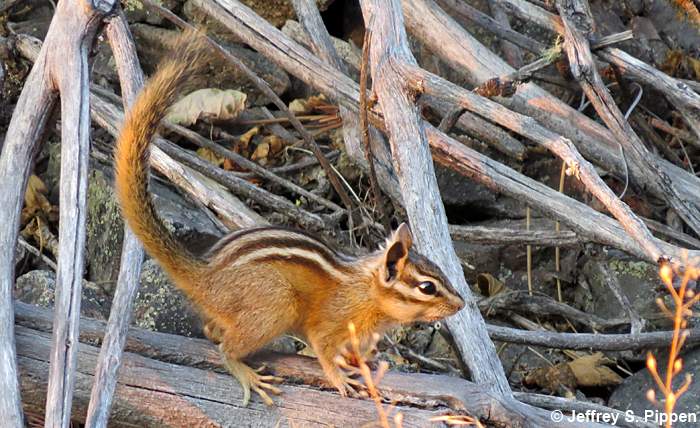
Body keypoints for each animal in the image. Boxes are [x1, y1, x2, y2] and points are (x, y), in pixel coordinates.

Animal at [114, 31, 465, 406]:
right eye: (427, 287)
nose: (461, 304)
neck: (366, 291)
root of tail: (206, 275)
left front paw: (356, 362)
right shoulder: (329, 325)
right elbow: (323, 351)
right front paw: (340, 377)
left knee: (211, 331)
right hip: (274, 307)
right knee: (226, 349)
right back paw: (248, 375)